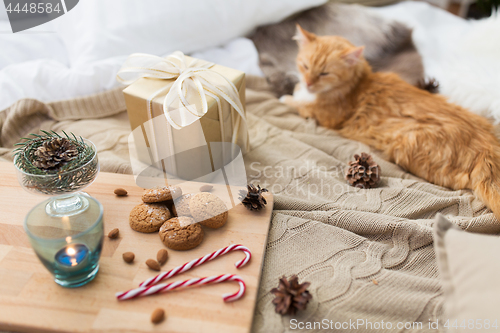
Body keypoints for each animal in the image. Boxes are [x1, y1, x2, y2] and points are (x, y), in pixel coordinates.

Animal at [282, 24, 500, 219]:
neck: (357, 84)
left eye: (324, 73)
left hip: (408, 148)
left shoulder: (326, 115)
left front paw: (287, 97)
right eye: (305, 66)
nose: (308, 83)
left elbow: (296, 103)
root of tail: (489, 148)